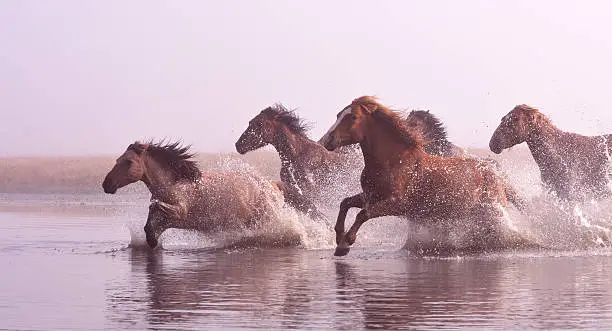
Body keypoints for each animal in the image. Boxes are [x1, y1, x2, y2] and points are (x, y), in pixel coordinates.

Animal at [103, 141, 308, 248]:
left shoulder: (180, 211)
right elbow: (150, 225)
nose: (106, 185)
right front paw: (152, 242)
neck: (175, 183)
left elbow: (155, 206)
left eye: (128, 162)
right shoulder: (167, 220)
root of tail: (272, 185)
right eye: (118, 160)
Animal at [318, 96, 524, 256]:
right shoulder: (371, 196)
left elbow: (363, 214)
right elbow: (345, 203)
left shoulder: (397, 204)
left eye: (353, 117)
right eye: (338, 114)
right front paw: (338, 236)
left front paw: (345, 244)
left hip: (491, 213)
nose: (325, 141)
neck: (393, 162)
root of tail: (495, 174)